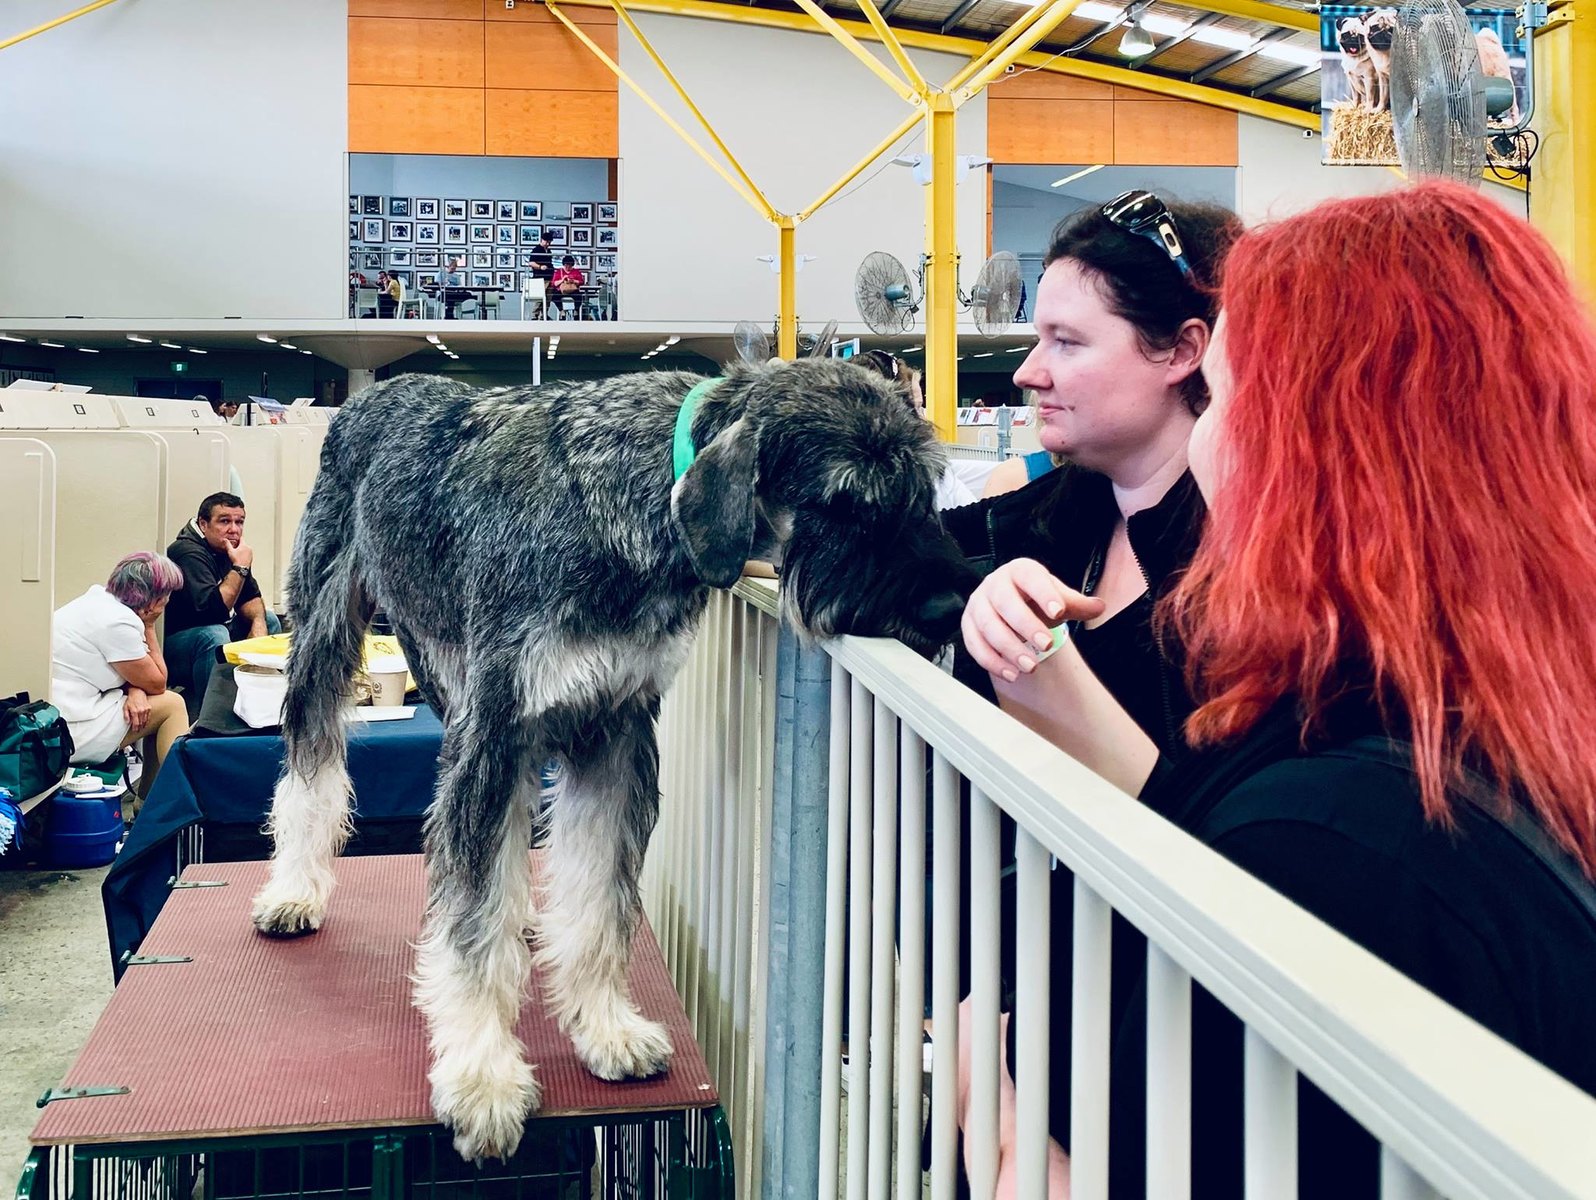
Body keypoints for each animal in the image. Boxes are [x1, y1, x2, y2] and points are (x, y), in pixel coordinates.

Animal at [248, 361, 977, 1161]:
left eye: (923, 490)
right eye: (844, 501)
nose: (950, 607)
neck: (638, 493)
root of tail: (371, 393)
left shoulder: (616, 734)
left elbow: (597, 898)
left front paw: (606, 1028)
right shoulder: (498, 729)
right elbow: (473, 919)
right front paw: (480, 1074)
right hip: (328, 635)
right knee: (313, 761)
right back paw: (295, 891)